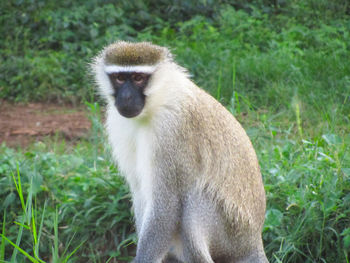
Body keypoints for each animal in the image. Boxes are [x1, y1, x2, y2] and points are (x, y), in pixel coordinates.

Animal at [91, 41, 268, 263]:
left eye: (139, 78)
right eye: (120, 78)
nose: (127, 96)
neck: (158, 101)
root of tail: (254, 241)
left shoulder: (171, 131)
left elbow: (166, 204)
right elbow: (141, 192)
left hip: (233, 233)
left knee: (193, 201)